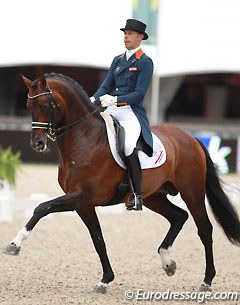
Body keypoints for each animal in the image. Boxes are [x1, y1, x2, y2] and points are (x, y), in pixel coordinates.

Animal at [2, 72, 240, 292]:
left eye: (44, 104)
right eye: (28, 105)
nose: (37, 144)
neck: (84, 139)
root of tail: (190, 137)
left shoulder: (80, 196)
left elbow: (42, 207)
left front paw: (14, 244)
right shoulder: (83, 204)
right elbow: (98, 239)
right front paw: (105, 280)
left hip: (192, 192)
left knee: (204, 229)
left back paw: (207, 280)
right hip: (154, 197)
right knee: (179, 217)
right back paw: (168, 262)